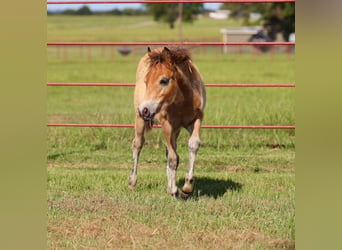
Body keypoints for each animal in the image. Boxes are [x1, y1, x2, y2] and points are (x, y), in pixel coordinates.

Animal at [128, 47, 206, 199]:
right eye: (146, 81)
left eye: (164, 80)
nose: (145, 110)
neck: (182, 101)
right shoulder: (167, 125)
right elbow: (172, 158)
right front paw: (175, 190)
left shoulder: (196, 120)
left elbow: (192, 145)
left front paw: (187, 187)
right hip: (140, 120)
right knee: (137, 144)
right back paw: (132, 182)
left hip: (176, 129)